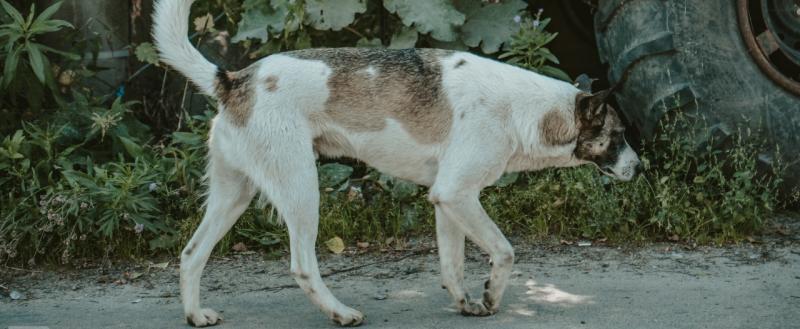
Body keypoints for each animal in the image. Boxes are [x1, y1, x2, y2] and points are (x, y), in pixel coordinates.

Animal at [153, 0, 640, 324]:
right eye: (618, 136)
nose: (641, 168)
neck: (524, 109)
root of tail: (236, 79)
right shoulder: (457, 195)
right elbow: (504, 250)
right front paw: (492, 296)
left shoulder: (449, 200)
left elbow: (452, 264)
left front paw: (465, 302)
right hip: (300, 189)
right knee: (302, 265)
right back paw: (340, 312)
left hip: (233, 196)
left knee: (191, 254)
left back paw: (196, 315)